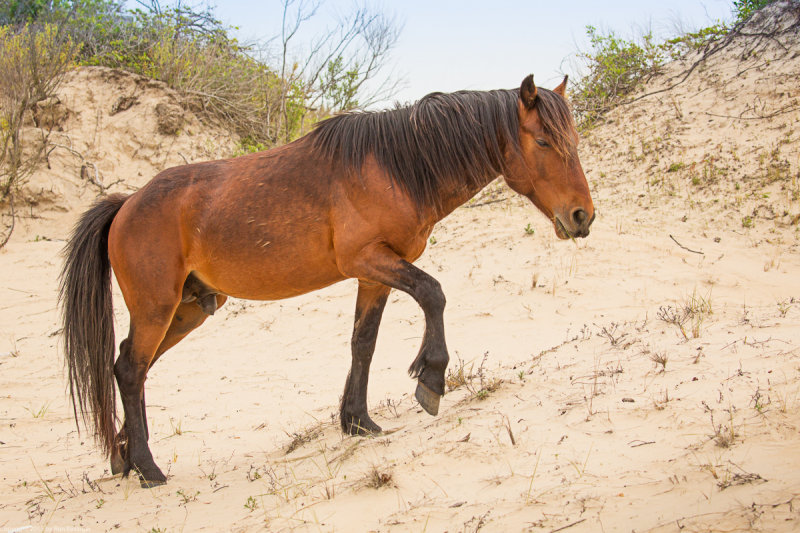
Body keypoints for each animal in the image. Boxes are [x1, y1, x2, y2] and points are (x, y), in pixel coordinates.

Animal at [59, 75, 592, 486]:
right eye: (543, 142)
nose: (582, 216)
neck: (396, 166)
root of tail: (126, 204)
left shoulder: (376, 275)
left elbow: (364, 342)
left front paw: (357, 420)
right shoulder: (370, 260)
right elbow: (434, 295)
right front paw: (431, 380)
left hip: (188, 310)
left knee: (129, 366)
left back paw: (124, 455)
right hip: (157, 308)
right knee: (131, 369)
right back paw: (147, 468)